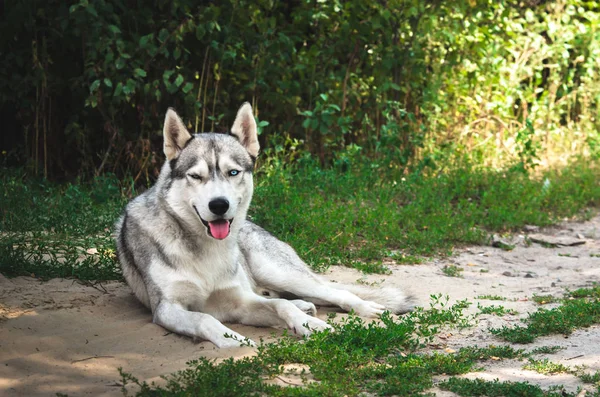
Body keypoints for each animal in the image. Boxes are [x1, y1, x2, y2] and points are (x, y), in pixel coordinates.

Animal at [115, 103, 414, 346]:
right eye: (196, 176)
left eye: (233, 172)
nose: (219, 205)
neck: (206, 249)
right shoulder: (167, 309)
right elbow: (205, 319)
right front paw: (233, 341)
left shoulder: (237, 301)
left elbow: (282, 307)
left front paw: (310, 325)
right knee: (286, 296)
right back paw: (306, 306)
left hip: (280, 272)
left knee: (330, 291)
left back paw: (363, 307)